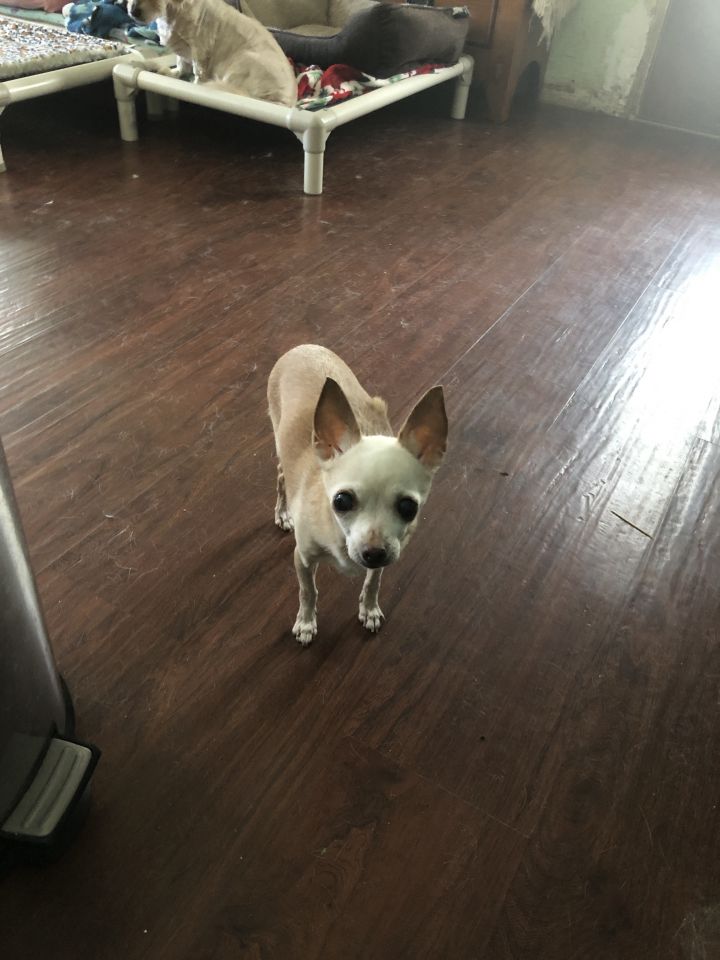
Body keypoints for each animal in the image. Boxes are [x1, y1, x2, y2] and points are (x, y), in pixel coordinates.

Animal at [127, 0, 297, 107]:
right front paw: (172, 72)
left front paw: (194, 85)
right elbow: (181, 64)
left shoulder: (200, 48)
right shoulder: (183, 49)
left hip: (241, 61)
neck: (172, 12)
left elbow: (198, 72)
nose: (133, 11)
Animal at [268, 345, 448, 646]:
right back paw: (282, 512)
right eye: (341, 501)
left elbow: (374, 580)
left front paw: (370, 608)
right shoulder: (302, 558)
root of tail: (303, 347)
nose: (373, 552)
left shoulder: (386, 556)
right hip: (280, 442)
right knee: (282, 475)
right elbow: (308, 591)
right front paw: (306, 623)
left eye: (409, 508)